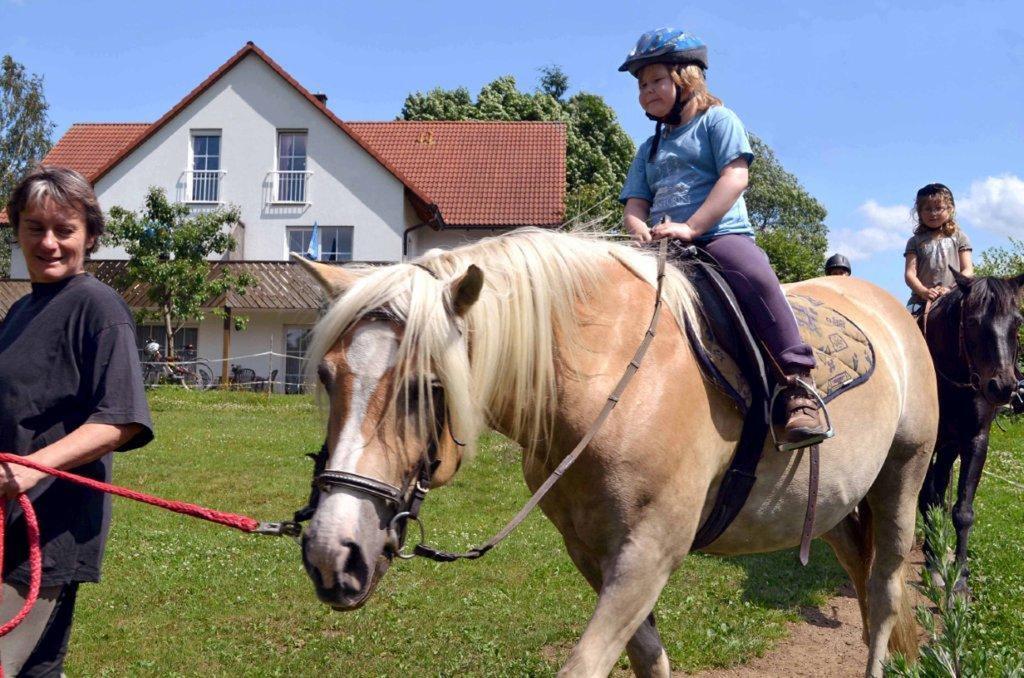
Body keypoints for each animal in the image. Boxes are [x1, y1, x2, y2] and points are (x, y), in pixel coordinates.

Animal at [294, 231, 937, 675]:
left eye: (427, 387)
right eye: (327, 376)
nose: (333, 552)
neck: (608, 379)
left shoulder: (649, 553)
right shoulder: (592, 552)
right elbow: (648, 659)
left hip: (903, 479)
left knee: (883, 594)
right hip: (834, 507)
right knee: (861, 582)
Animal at [917, 270, 1019, 594]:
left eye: (1017, 322)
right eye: (972, 322)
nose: (1002, 387)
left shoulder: (974, 441)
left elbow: (962, 510)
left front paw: (960, 574)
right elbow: (927, 497)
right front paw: (933, 562)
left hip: (949, 447)